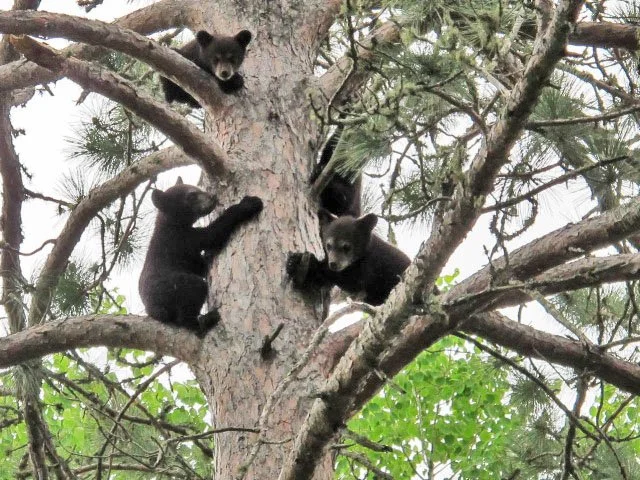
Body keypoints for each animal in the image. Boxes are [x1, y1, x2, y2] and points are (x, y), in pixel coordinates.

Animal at [139, 177, 263, 335]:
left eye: (197, 188)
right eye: (191, 196)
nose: (213, 196)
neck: (170, 223)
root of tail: (152, 310)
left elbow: (200, 264)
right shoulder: (183, 240)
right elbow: (211, 234)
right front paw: (249, 204)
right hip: (172, 286)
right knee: (195, 290)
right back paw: (203, 322)